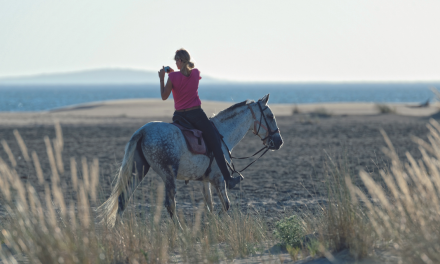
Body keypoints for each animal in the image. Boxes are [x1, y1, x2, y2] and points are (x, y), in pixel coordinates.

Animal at [96, 94, 284, 226]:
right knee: (170, 204)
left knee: (123, 199)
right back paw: (179, 230)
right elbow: (226, 204)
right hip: (168, 175)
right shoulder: (219, 179)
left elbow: (210, 205)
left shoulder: (206, 181)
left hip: (139, 170)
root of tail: (143, 131)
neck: (222, 133)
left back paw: (118, 231)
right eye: (270, 115)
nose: (279, 141)